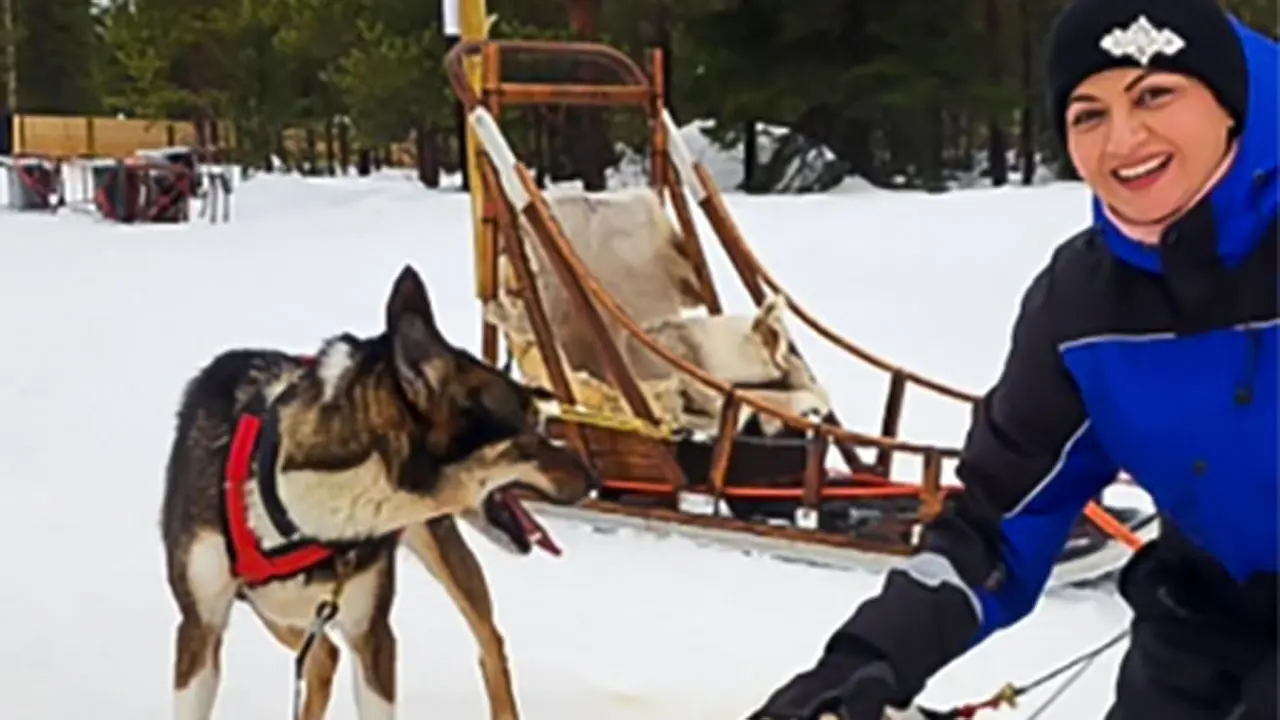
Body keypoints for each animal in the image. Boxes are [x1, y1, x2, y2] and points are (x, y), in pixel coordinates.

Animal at [160, 265, 598, 719]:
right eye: (528, 431)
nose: (593, 480)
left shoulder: (371, 631)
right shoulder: (201, 625)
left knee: (489, 641)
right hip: (275, 609)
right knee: (323, 658)